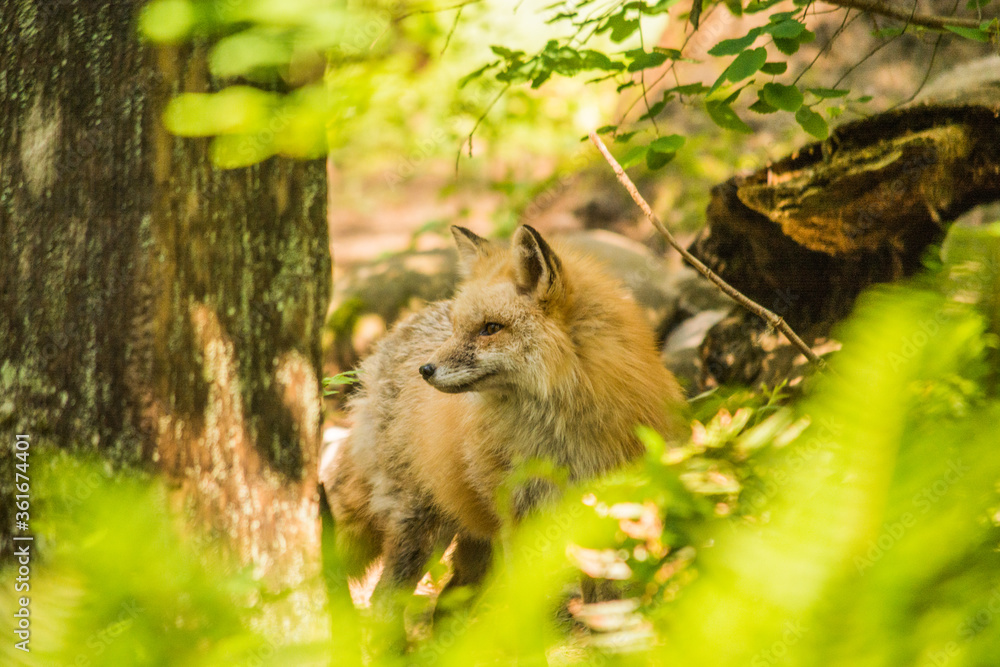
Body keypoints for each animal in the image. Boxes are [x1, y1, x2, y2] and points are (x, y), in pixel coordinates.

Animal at [323, 224, 687, 616]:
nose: (425, 370)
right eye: (458, 328)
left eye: (490, 328)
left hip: (474, 550)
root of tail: (385, 345)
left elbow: (608, 603)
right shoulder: (522, 518)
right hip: (423, 528)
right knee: (383, 603)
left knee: (445, 608)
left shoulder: (610, 512)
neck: (564, 436)